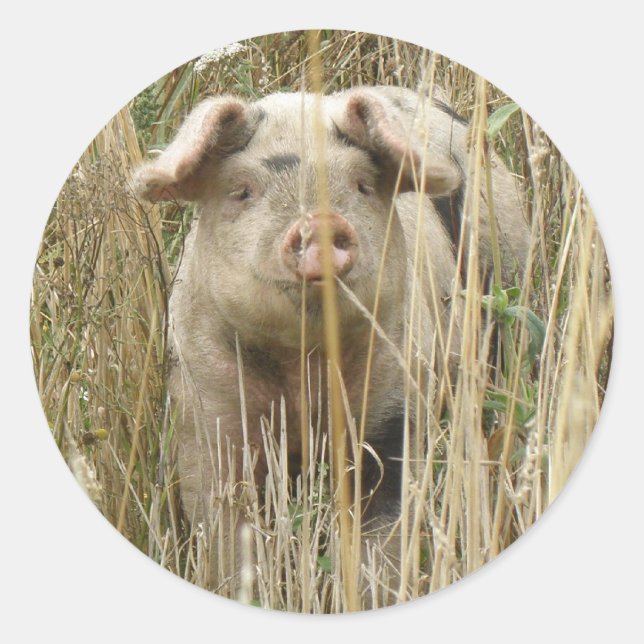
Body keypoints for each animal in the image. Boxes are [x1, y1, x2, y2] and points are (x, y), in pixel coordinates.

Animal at [134, 86, 529, 601]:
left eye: (362, 184)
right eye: (242, 190)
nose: (321, 221)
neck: (302, 368)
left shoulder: (396, 403)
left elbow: (381, 539)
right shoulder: (205, 411)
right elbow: (227, 532)